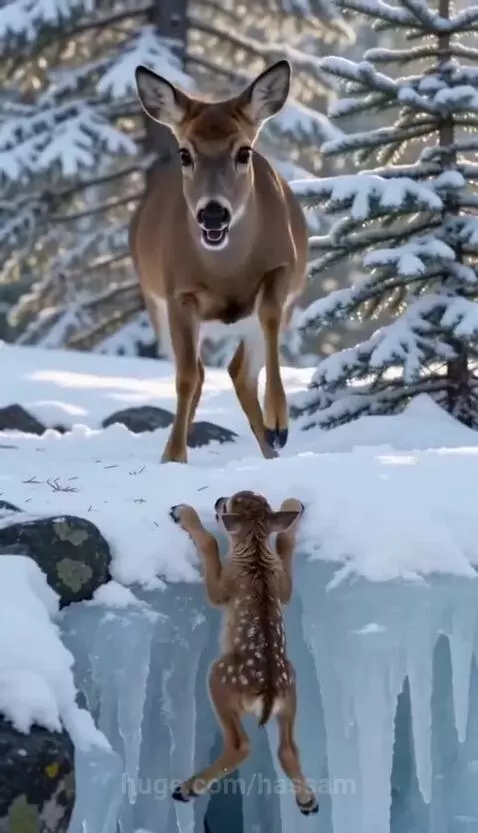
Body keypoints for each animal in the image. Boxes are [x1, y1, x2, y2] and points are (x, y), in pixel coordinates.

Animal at [130, 60, 308, 463]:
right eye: (185, 153)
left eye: (243, 152)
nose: (213, 214)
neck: (226, 273)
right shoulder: (178, 294)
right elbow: (185, 378)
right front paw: (174, 457)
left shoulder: (283, 267)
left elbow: (268, 317)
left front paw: (279, 420)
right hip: (156, 307)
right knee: (200, 372)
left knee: (240, 370)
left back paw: (271, 443)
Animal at [169, 491, 319, 816]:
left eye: (228, 504)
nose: (218, 498)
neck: (255, 551)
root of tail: (268, 696)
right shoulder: (281, 584)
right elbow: (285, 555)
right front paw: (293, 505)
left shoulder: (224, 587)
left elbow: (211, 547)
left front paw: (183, 513)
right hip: (293, 689)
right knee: (288, 748)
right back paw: (308, 801)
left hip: (219, 676)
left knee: (242, 745)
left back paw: (188, 788)